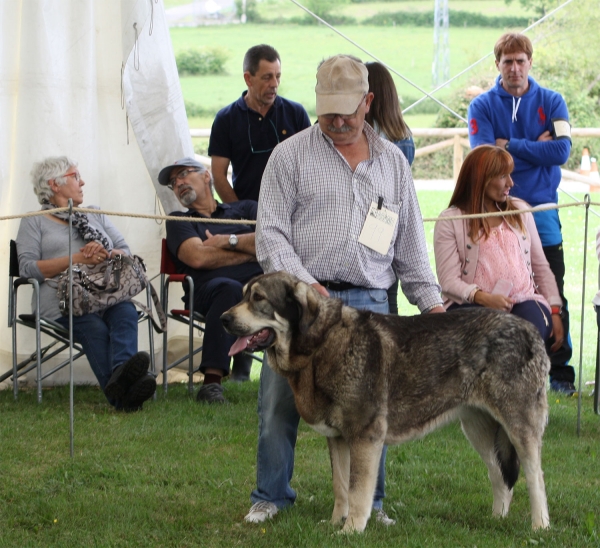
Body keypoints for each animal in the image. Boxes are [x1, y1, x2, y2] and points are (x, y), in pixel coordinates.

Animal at [223, 272, 552, 532]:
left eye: (258, 298)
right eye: (243, 296)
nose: (224, 318)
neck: (323, 343)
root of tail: (531, 330)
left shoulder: (365, 436)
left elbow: (358, 491)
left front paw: (351, 530)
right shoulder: (339, 439)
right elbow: (341, 487)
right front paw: (335, 524)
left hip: (518, 426)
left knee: (535, 477)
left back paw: (540, 526)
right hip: (478, 428)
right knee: (500, 476)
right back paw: (498, 519)